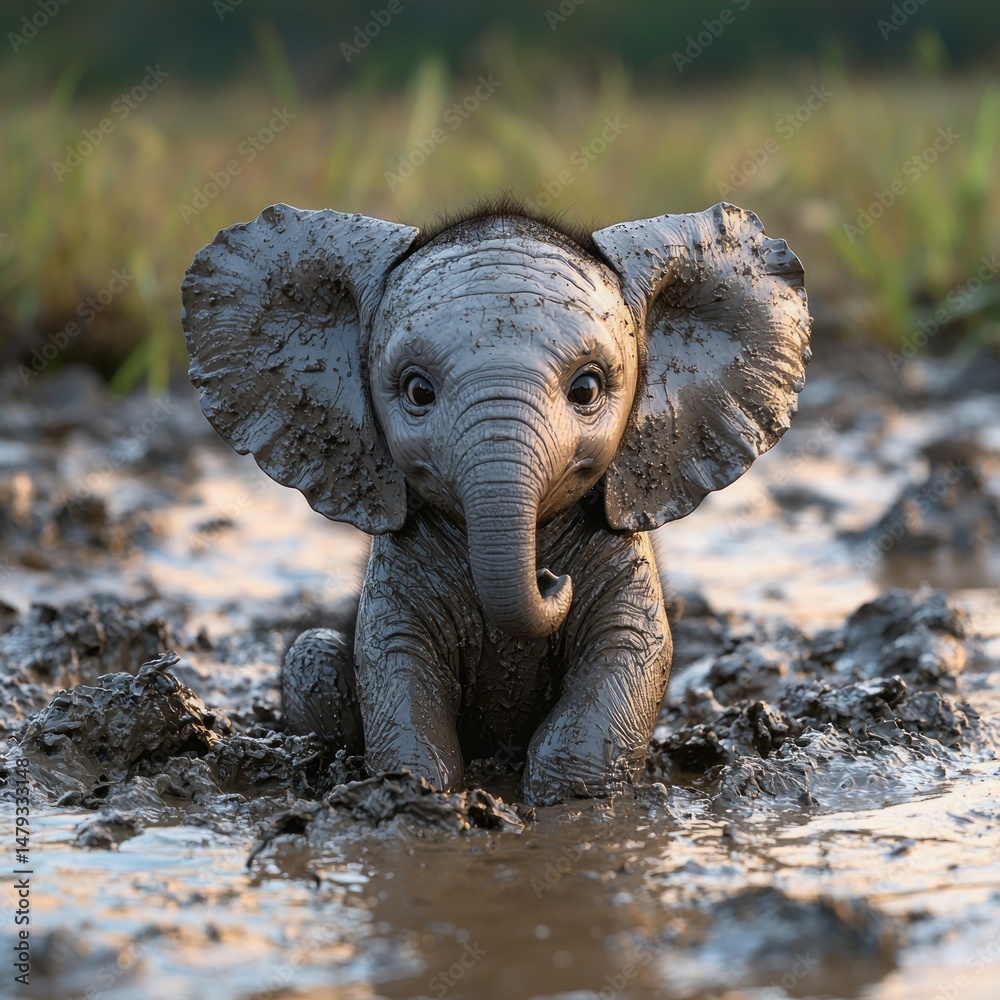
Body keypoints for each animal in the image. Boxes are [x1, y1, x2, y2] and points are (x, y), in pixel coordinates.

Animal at [182, 198, 810, 805]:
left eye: (587, 388)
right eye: (417, 391)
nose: (550, 577)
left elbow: (630, 651)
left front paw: (574, 806)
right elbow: (395, 662)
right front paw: (414, 795)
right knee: (310, 653)